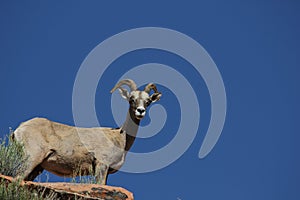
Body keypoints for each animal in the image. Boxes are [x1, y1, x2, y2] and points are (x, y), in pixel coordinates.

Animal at [11, 79, 162, 184]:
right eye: (131, 99)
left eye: (148, 101)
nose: (140, 111)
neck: (121, 138)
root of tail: (20, 128)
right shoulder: (101, 165)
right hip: (32, 159)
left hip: (37, 168)